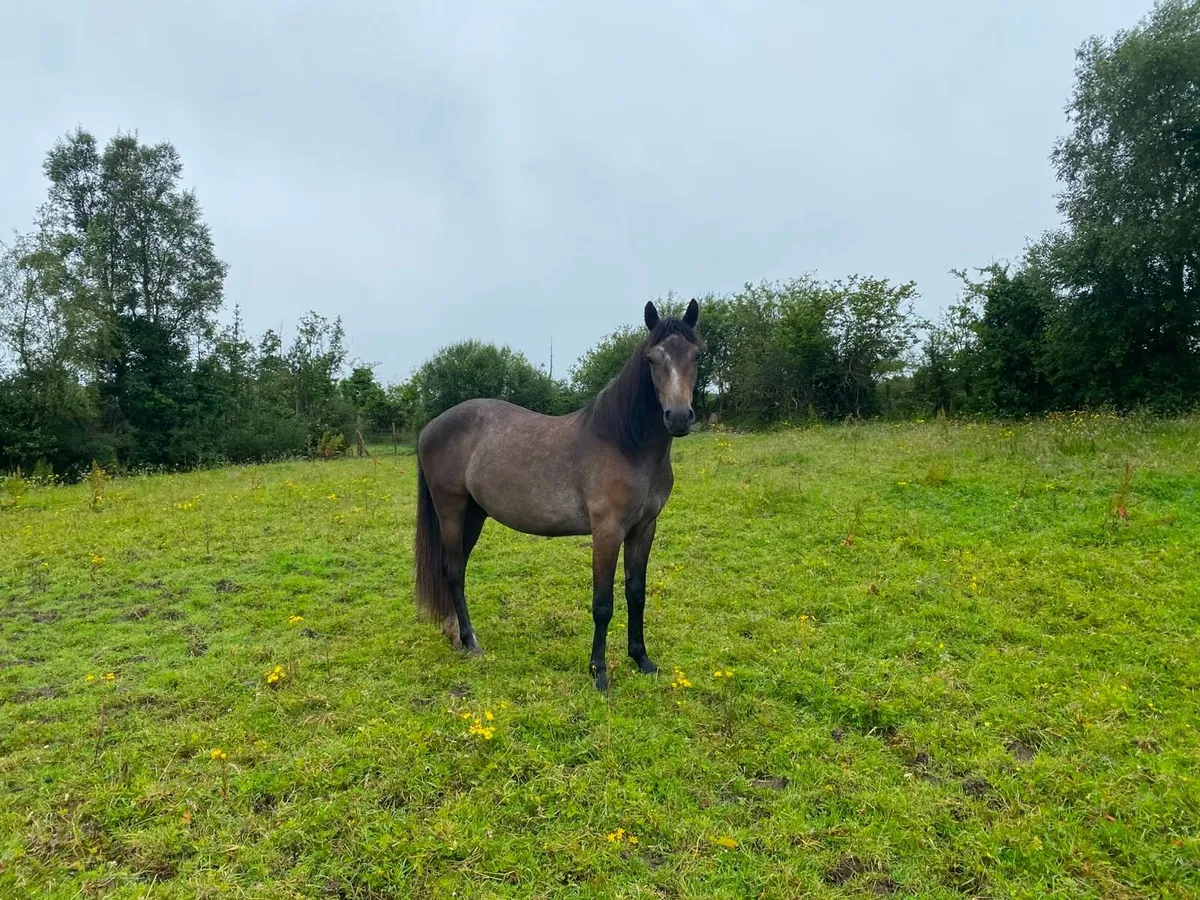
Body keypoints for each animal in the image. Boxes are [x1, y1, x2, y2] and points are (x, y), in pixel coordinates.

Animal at [413, 299, 704, 690]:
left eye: (696, 355)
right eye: (652, 358)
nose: (678, 417)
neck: (624, 444)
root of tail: (430, 427)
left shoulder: (644, 528)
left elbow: (636, 593)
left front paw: (641, 659)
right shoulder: (607, 531)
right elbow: (603, 603)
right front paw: (598, 672)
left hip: (473, 514)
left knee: (453, 570)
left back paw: (455, 634)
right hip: (451, 510)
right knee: (455, 571)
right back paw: (471, 642)